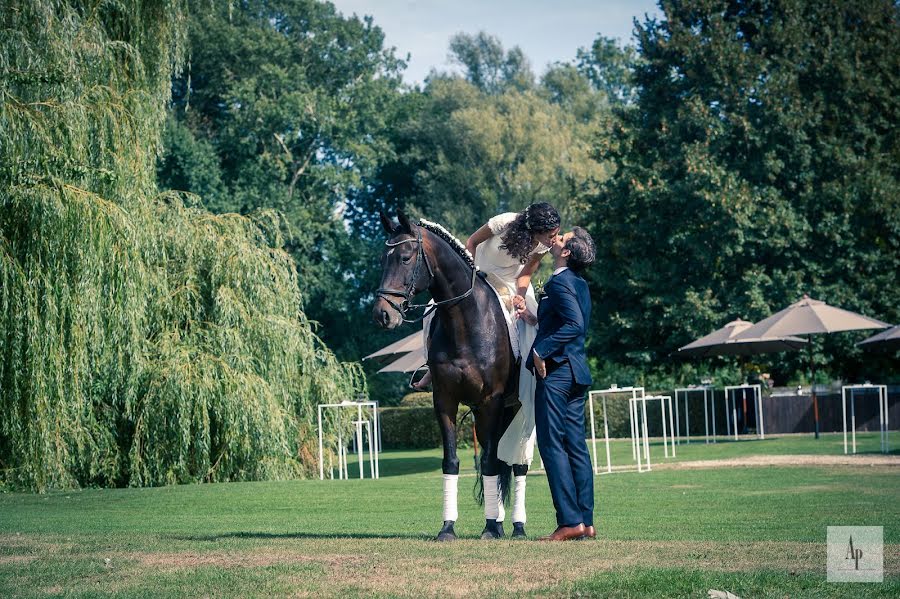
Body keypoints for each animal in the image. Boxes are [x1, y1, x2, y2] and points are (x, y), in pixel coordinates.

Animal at [372, 212, 528, 544]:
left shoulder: (490, 402)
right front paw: (448, 527)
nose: (382, 314)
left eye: (405, 257)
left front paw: (489, 527)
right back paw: (501, 521)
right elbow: (453, 461)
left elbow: (490, 461)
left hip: (517, 409)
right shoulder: (444, 400)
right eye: (382, 259)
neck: (465, 321)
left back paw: (517, 527)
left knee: (518, 463)